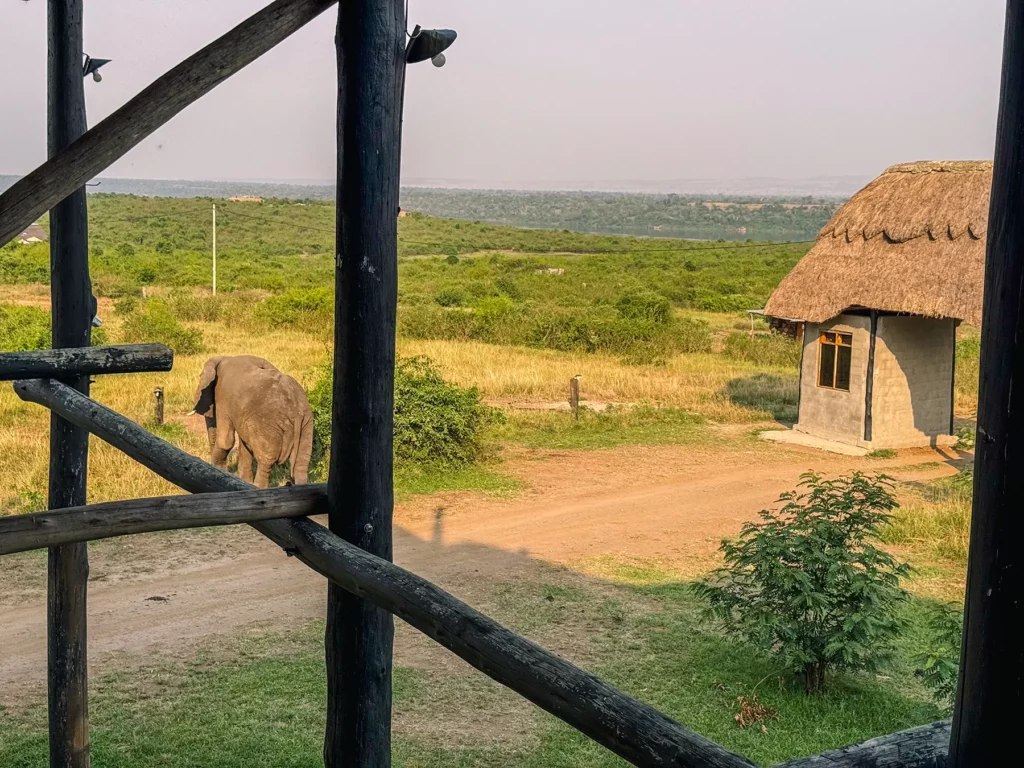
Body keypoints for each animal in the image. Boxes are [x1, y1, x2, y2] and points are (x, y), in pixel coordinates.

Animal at [192, 355, 314, 488]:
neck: (223, 357)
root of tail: (296, 413)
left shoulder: (223, 397)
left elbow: (225, 441)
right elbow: (244, 443)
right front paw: (243, 481)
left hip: (269, 425)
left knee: (266, 461)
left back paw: (257, 486)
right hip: (306, 422)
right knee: (301, 462)